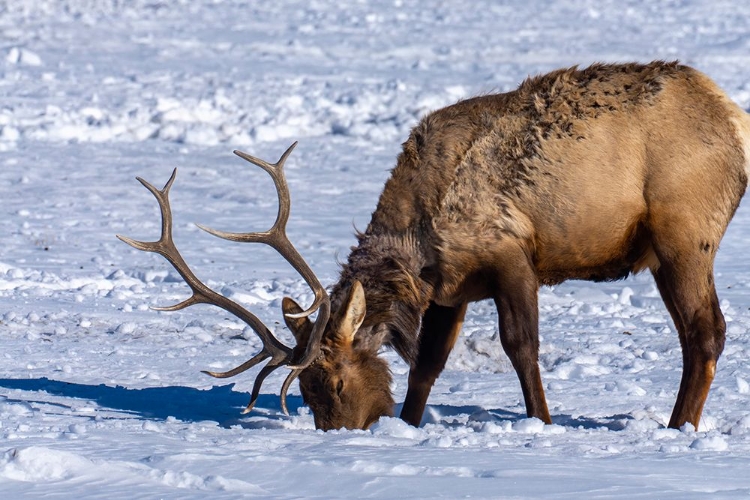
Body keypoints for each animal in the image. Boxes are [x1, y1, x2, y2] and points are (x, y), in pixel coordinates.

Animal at [117, 61, 750, 430]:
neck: (417, 250)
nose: (342, 433)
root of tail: (734, 117)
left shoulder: (510, 255)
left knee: (706, 332)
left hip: (682, 234)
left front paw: (541, 425)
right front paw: (410, 423)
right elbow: (427, 362)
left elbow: (521, 346)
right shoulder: (451, 287)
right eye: (309, 396)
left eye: (334, 382)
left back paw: (679, 428)